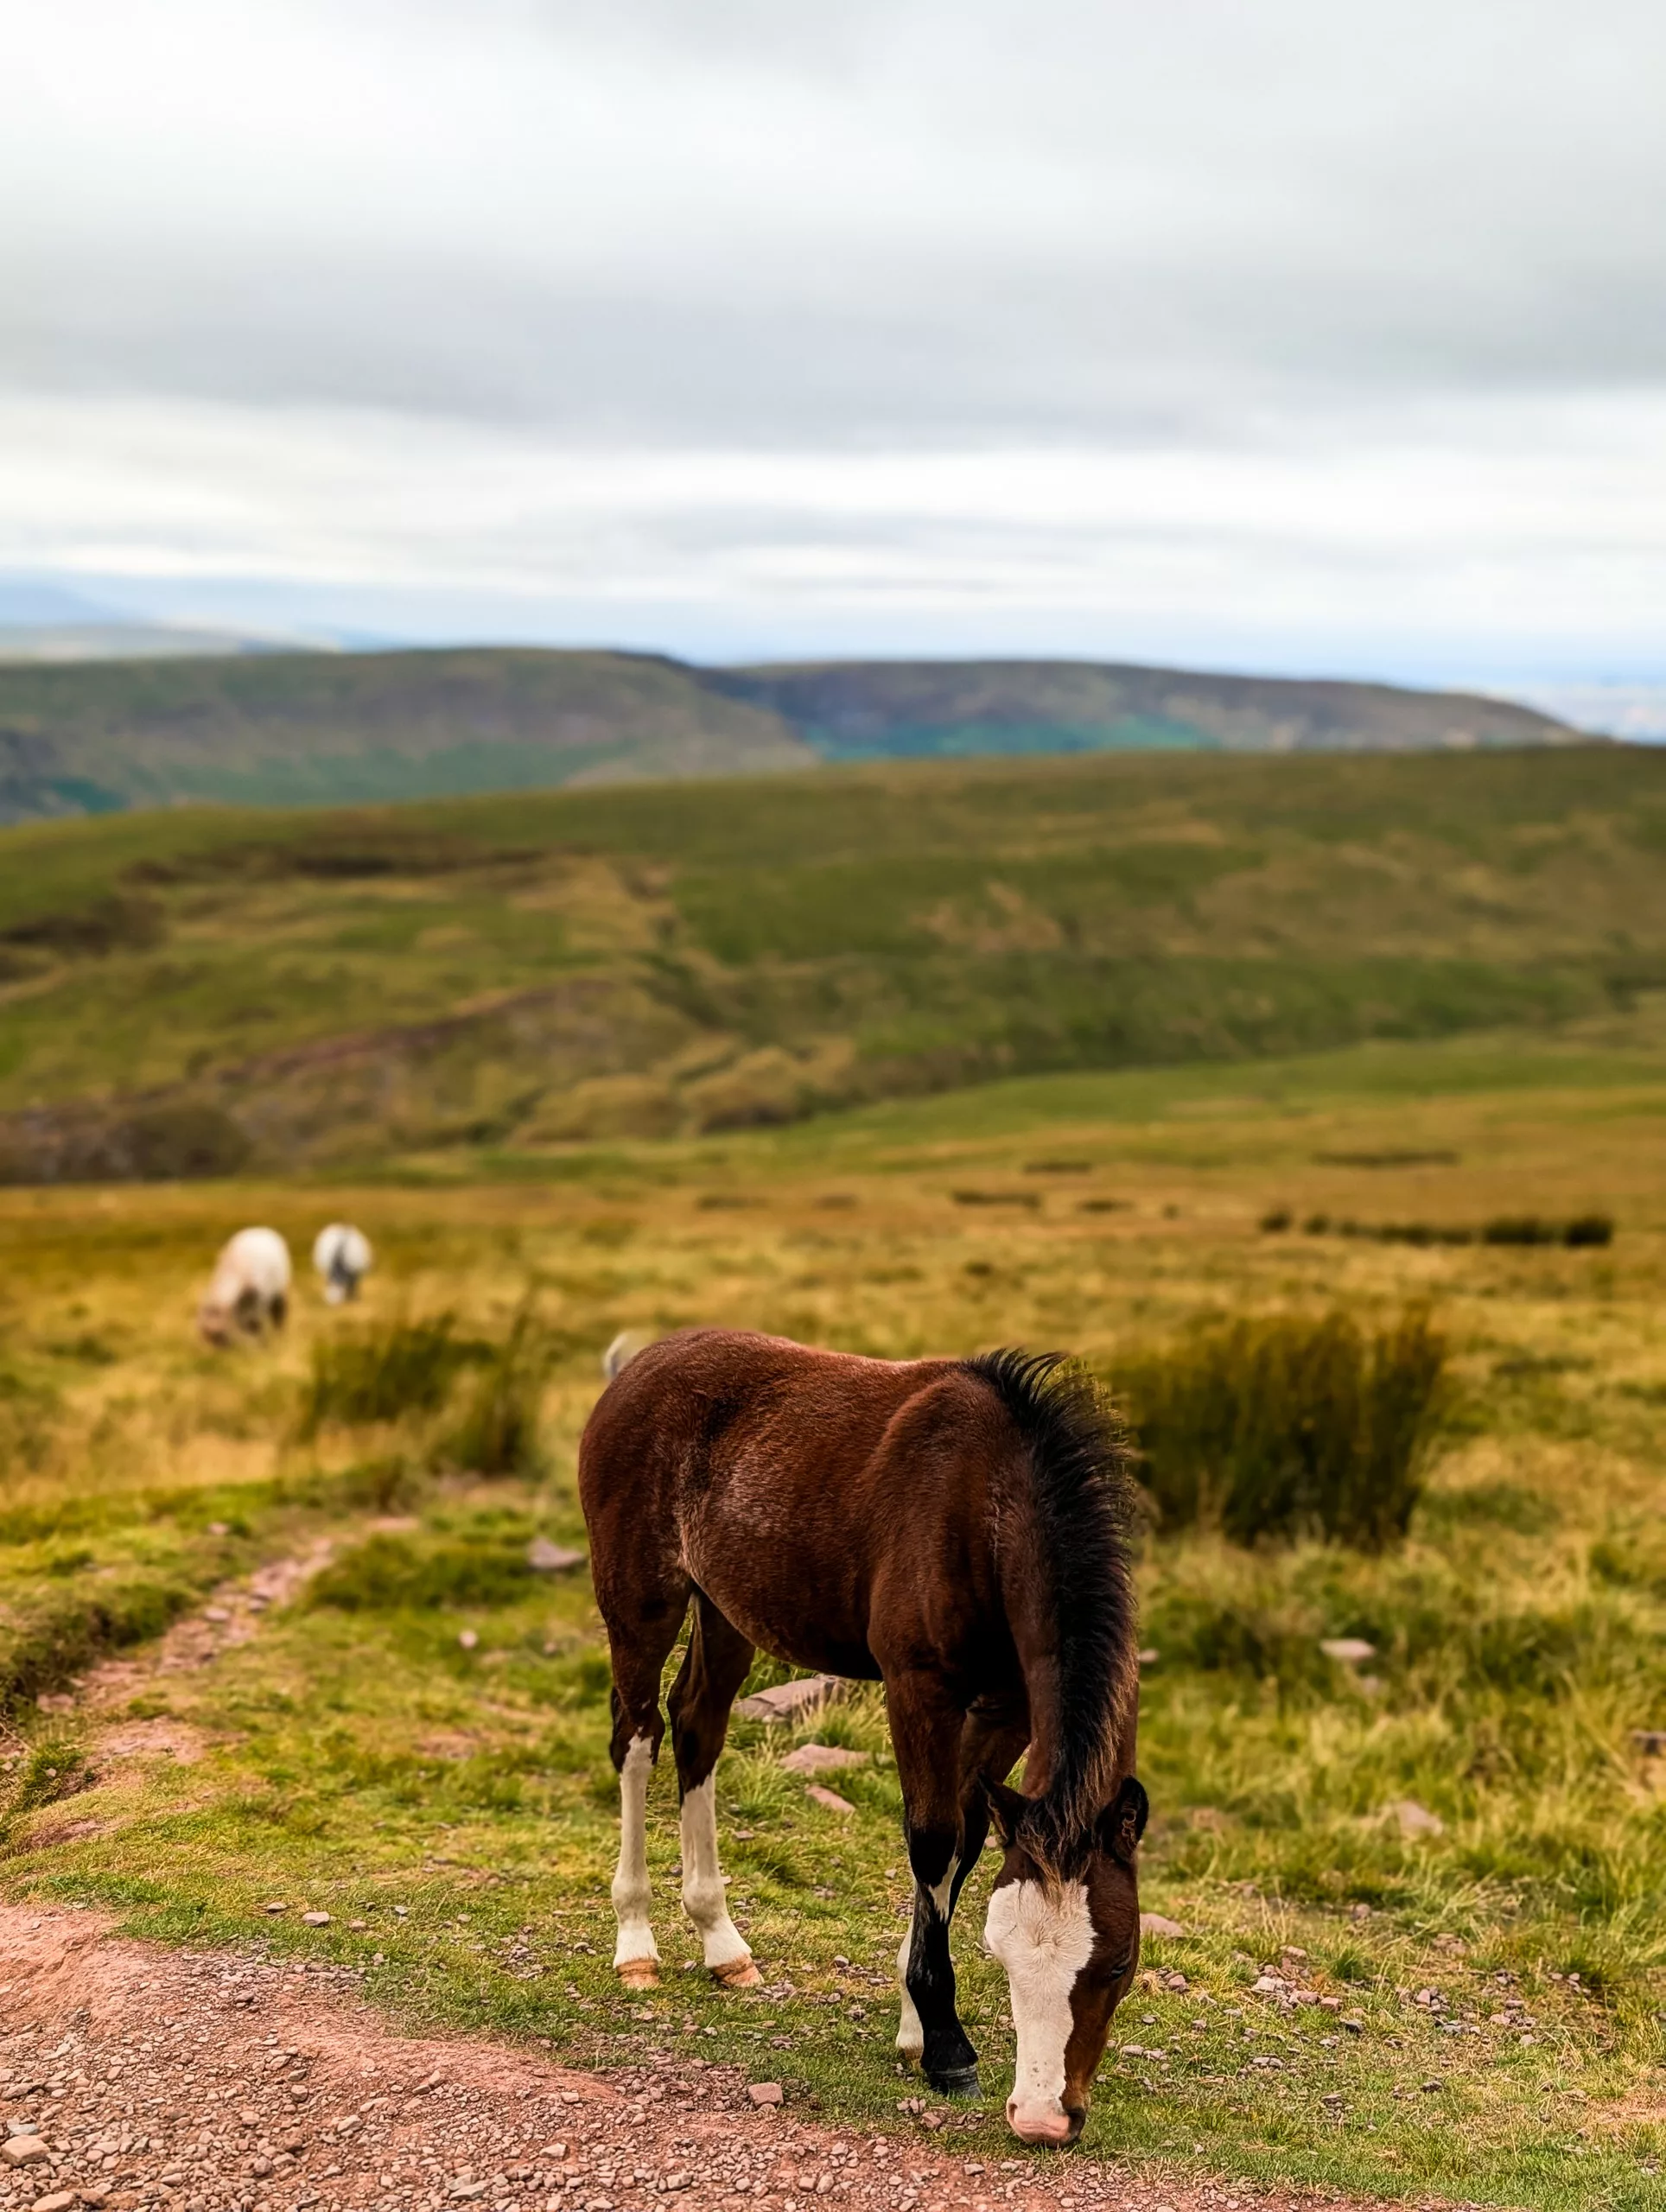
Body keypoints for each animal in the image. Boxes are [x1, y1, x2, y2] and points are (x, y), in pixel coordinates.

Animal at [578, 1328, 1148, 2147]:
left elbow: (966, 1840)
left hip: (726, 1611)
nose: (1043, 2119)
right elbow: (933, 1838)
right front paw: (945, 2048)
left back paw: (723, 1944)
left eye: (1117, 1964)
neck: (986, 1505)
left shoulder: (1005, 1706)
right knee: (638, 1737)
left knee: (697, 1728)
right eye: (1004, 1959)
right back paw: (637, 1945)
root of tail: (637, 1367)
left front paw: (915, 2028)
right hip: (639, 1604)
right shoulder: (918, 1687)